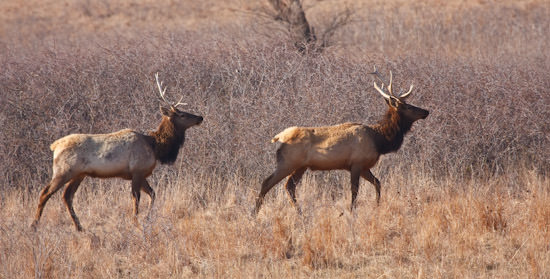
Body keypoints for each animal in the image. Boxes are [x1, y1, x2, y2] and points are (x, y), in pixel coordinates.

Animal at [30, 74, 203, 232]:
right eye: (182, 114)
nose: (200, 117)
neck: (156, 147)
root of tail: (54, 146)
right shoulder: (137, 171)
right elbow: (136, 199)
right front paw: (136, 223)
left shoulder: (141, 174)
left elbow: (153, 194)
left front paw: (147, 218)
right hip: (63, 170)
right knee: (45, 192)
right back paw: (34, 225)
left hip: (79, 174)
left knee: (67, 196)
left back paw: (79, 227)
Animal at [254, 68, 432, 217]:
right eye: (407, 106)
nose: (426, 111)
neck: (380, 140)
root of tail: (279, 138)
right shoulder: (357, 163)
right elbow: (355, 191)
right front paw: (352, 212)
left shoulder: (363, 166)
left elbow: (378, 183)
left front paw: (377, 206)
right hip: (289, 162)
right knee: (267, 182)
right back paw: (254, 213)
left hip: (300, 166)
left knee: (289, 186)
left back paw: (300, 213)